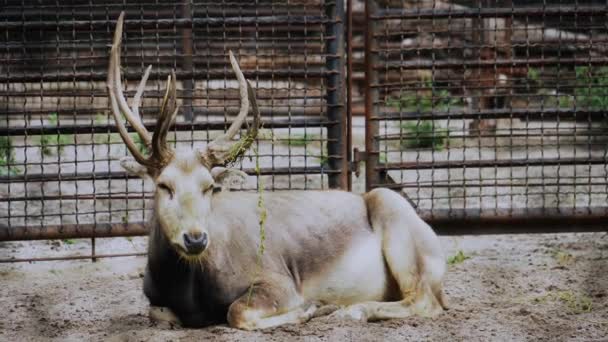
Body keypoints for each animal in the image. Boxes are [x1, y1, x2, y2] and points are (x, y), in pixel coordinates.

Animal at [105, 12, 446, 330]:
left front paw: (311, 308)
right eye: (165, 185)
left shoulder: (279, 280)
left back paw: (353, 310)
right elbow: (158, 314)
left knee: (425, 299)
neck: (189, 290)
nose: (196, 239)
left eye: (209, 186)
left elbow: (237, 311)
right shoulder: (155, 300)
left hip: (395, 214)